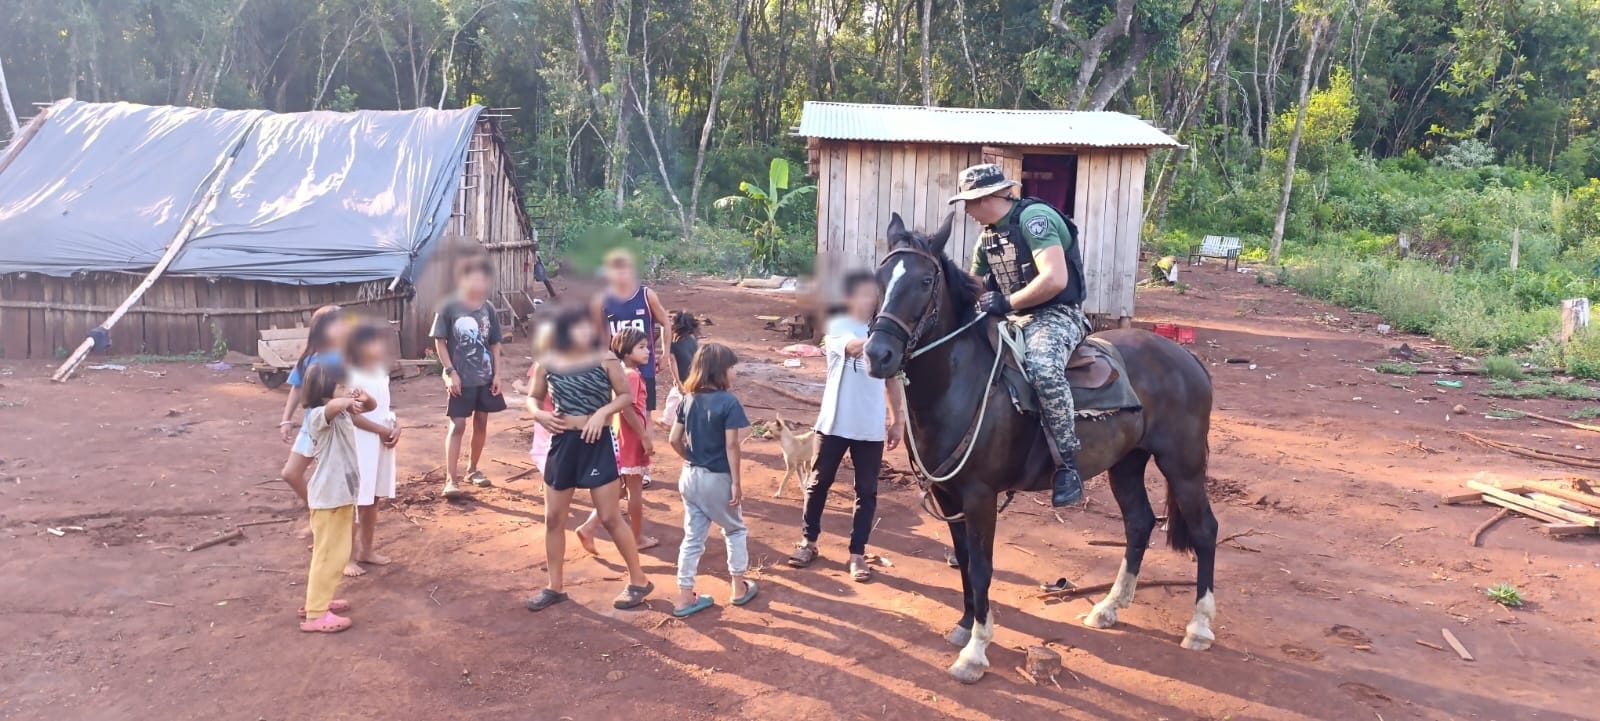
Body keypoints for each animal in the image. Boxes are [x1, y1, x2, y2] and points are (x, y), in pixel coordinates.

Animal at [870, 212, 1216, 684]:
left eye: (925, 280)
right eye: (879, 277)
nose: (877, 354)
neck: (961, 383)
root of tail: (1186, 358)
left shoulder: (980, 497)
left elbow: (981, 567)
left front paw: (976, 652)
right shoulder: (948, 496)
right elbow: (963, 558)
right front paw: (965, 625)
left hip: (1183, 465)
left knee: (1205, 531)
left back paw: (1199, 626)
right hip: (1127, 464)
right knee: (1139, 523)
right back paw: (1109, 607)